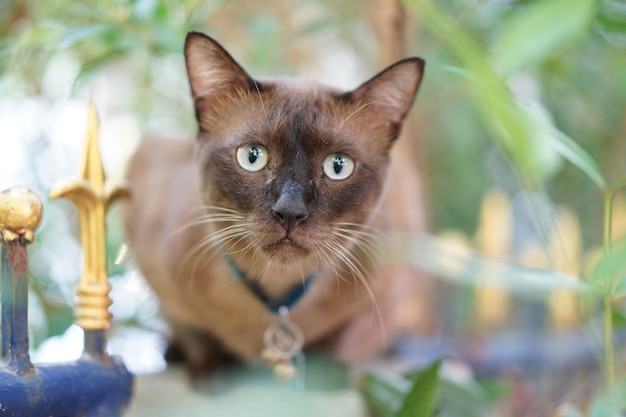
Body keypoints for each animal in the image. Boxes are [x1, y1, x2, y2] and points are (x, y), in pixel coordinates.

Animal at [123, 30, 424, 372]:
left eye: (338, 166)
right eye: (252, 157)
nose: (290, 212)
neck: (274, 301)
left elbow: (338, 344)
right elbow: (193, 333)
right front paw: (209, 369)